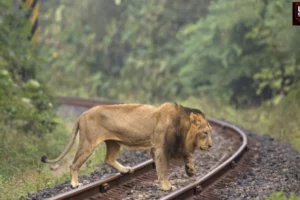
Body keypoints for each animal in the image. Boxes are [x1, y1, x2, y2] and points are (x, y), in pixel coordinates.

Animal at [40, 103, 213, 191]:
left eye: (210, 132)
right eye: (205, 133)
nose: (211, 146)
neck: (182, 127)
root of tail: (82, 115)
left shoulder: (175, 145)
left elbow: (188, 154)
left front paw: (190, 170)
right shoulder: (159, 149)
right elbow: (163, 169)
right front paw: (166, 186)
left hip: (113, 143)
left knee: (108, 159)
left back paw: (125, 170)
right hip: (88, 143)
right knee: (73, 164)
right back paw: (75, 184)